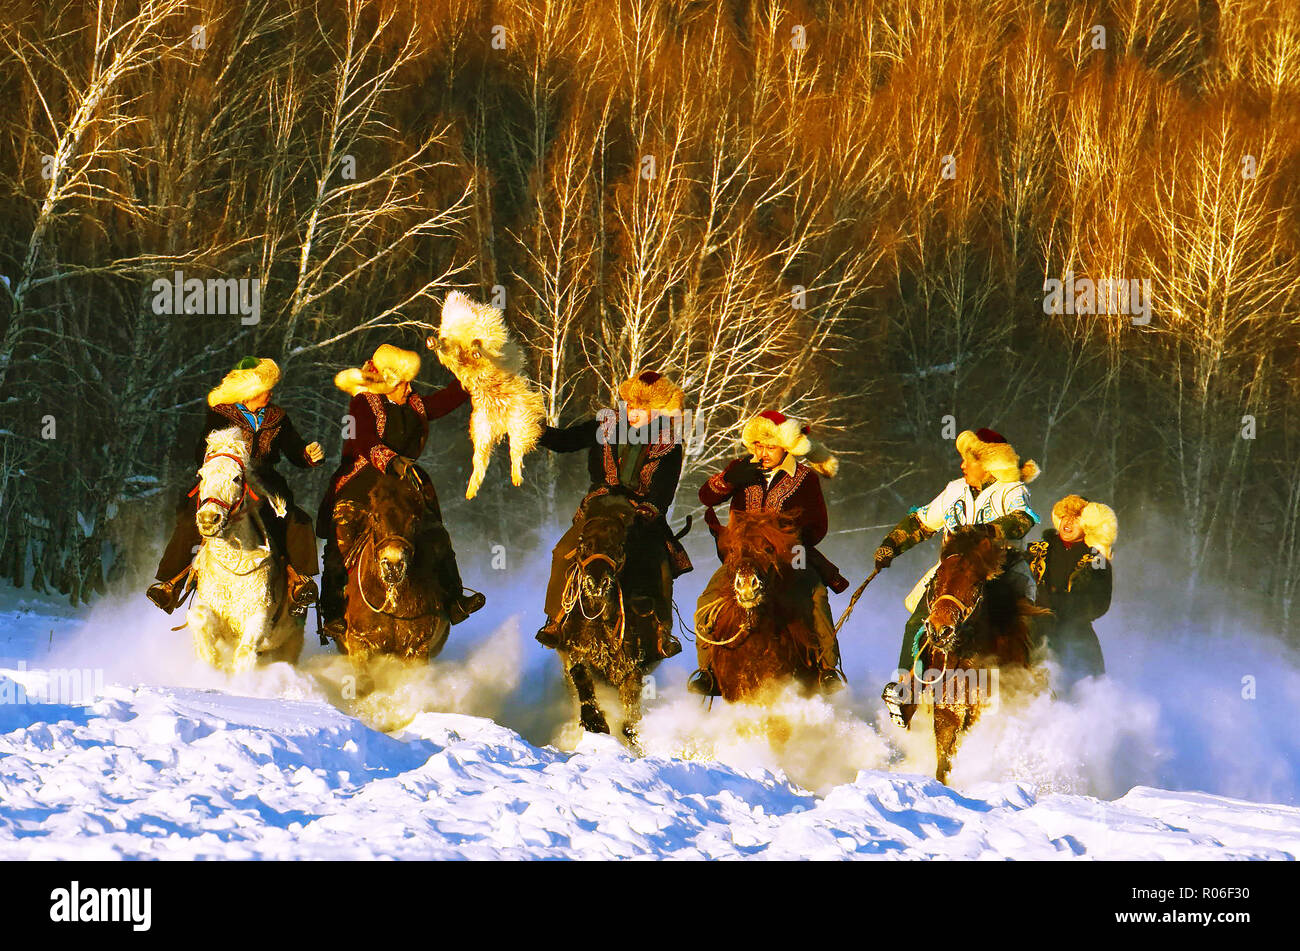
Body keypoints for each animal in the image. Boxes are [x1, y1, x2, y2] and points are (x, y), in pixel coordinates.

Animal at [187, 426, 302, 670]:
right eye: (201, 476)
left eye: (236, 477)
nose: (209, 518)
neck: (233, 570)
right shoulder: (212, 609)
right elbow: (198, 618)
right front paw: (211, 662)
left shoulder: (258, 616)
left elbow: (245, 653)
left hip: (292, 640)